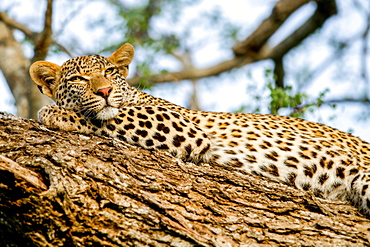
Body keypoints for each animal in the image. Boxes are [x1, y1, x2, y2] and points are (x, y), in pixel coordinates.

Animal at [29, 43, 370, 217]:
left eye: (110, 72)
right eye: (78, 80)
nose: (105, 91)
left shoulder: (177, 124)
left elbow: (110, 117)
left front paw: (55, 112)